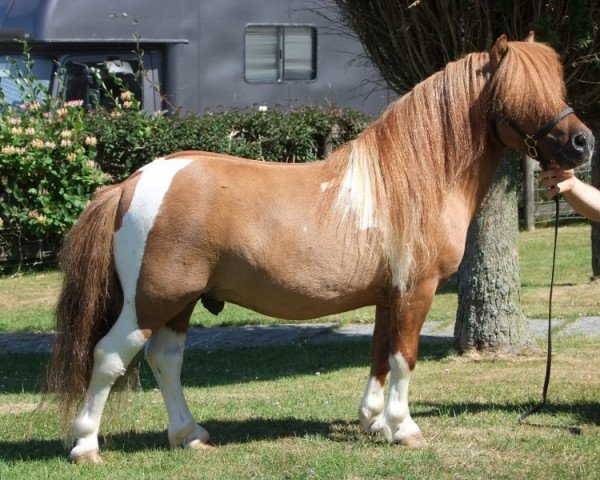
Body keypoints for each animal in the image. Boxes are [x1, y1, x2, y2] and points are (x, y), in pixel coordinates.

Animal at [45, 33, 592, 462]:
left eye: (556, 84)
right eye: (519, 92)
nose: (583, 143)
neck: (414, 180)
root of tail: (131, 183)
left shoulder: (387, 297)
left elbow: (379, 355)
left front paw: (373, 421)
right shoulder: (416, 290)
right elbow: (404, 358)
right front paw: (404, 428)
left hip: (178, 302)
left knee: (165, 359)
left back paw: (190, 434)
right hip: (152, 299)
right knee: (110, 356)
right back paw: (86, 445)